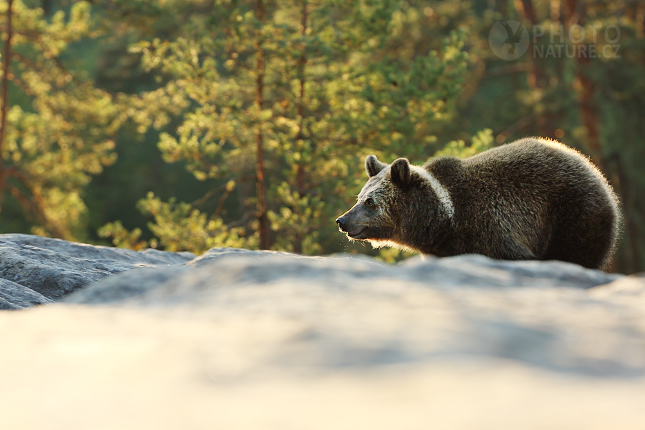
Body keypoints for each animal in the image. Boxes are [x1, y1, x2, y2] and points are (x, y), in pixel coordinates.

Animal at [334, 138, 620, 268]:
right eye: (360, 197)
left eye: (370, 202)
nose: (342, 220)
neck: (444, 222)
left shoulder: (491, 227)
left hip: (571, 214)